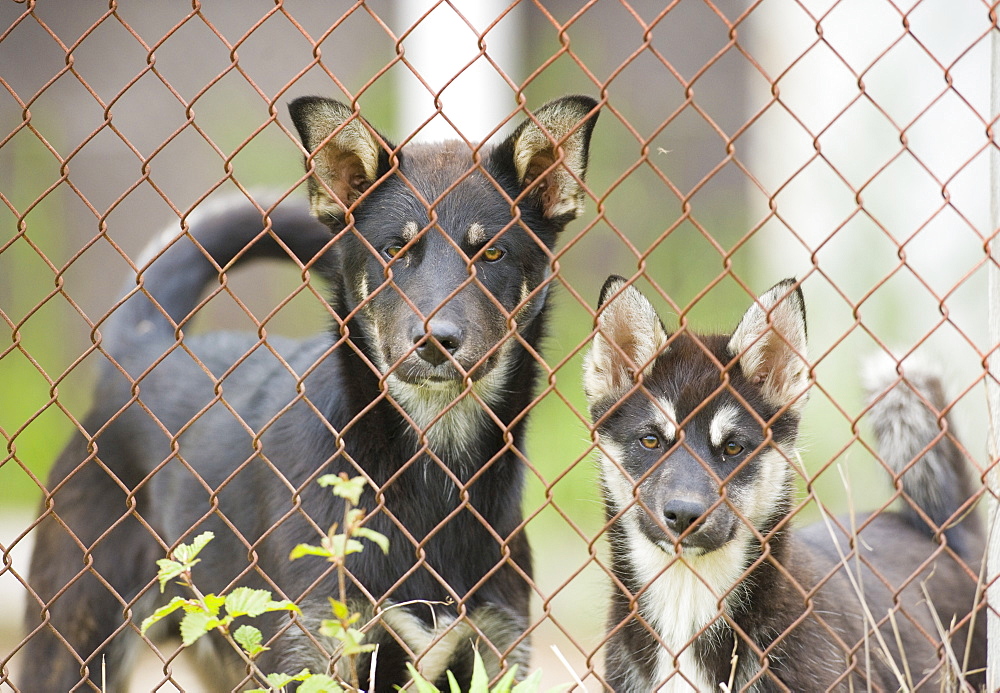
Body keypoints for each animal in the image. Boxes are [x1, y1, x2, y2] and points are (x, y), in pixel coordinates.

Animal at [23, 94, 596, 688]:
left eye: (493, 255)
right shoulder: (314, 650)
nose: (435, 341)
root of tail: (139, 352)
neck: (431, 477)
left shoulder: (497, 651)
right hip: (73, 647)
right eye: (395, 249)